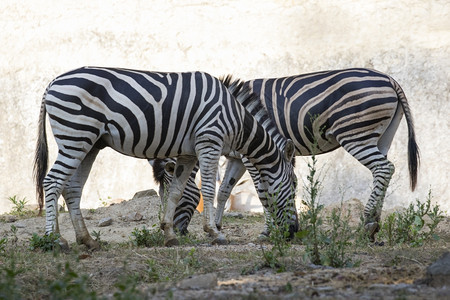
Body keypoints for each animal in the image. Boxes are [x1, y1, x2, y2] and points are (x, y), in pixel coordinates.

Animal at [33, 67, 298, 250]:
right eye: (295, 185)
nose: (293, 231)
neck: (237, 119)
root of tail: (52, 82)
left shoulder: (188, 153)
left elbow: (177, 192)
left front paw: (169, 234)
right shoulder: (209, 142)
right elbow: (209, 190)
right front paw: (214, 233)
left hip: (89, 144)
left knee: (72, 188)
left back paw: (87, 240)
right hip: (75, 136)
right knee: (53, 182)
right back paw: (54, 240)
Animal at [154, 68, 418, 241]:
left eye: (171, 192)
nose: (176, 232)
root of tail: (390, 79)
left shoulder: (252, 156)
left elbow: (263, 192)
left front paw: (268, 232)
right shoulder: (239, 157)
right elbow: (225, 190)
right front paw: (218, 227)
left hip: (355, 133)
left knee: (384, 168)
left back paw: (368, 222)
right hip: (382, 136)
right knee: (381, 172)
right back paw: (374, 223)